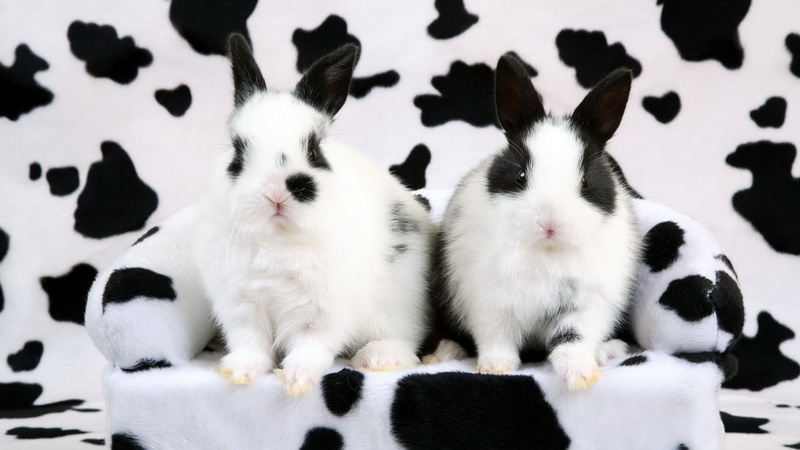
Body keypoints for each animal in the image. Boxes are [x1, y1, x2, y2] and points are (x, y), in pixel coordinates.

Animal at [193, 34, 435, 396]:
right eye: (238, 151)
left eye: (314, 150)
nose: (277, 192)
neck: (278, 239)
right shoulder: (242, 306)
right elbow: (251, 342)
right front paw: (241, 372)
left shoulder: (321, 311)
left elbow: (311, 344)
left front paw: (297, 379)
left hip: (400, 305)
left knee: (407, 341)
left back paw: (378, 358)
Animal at [429, 53, 642, 391]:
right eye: (520, 175)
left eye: (585, 181)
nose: (550, 222)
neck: (546, 249)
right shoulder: (490, 302)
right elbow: (497, 339)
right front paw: (495, 367)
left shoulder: (584, 305)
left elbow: (573, 340)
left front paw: (582, 376)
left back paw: (609, 350)